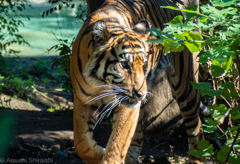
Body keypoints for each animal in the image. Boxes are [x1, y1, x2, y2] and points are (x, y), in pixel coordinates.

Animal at [70, 0, 206, 163]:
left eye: (144, 64)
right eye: (124, 64)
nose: (141, 94)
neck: (101, 82)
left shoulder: (126, 106)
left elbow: (117, 143)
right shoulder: (83, 99)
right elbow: (81, 143)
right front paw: (99, 154)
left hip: (185, 87)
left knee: (196, 128)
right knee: (138, 137)